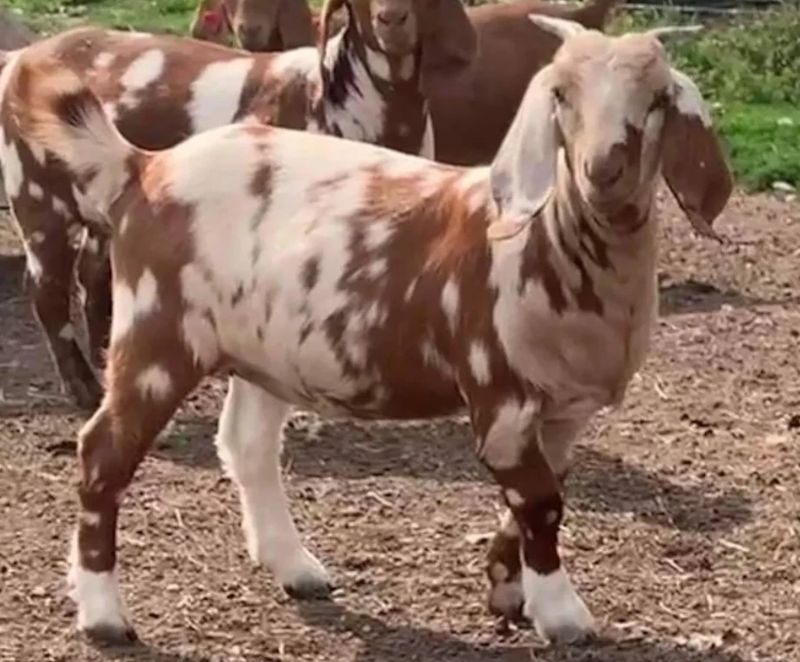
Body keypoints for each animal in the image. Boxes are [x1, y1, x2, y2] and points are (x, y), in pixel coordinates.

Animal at [0, 0, 476, 410]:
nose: (391, 19)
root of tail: (20, 58)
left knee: (92, 278)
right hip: (40, 200)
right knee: (47, 292)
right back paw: (83, 387)